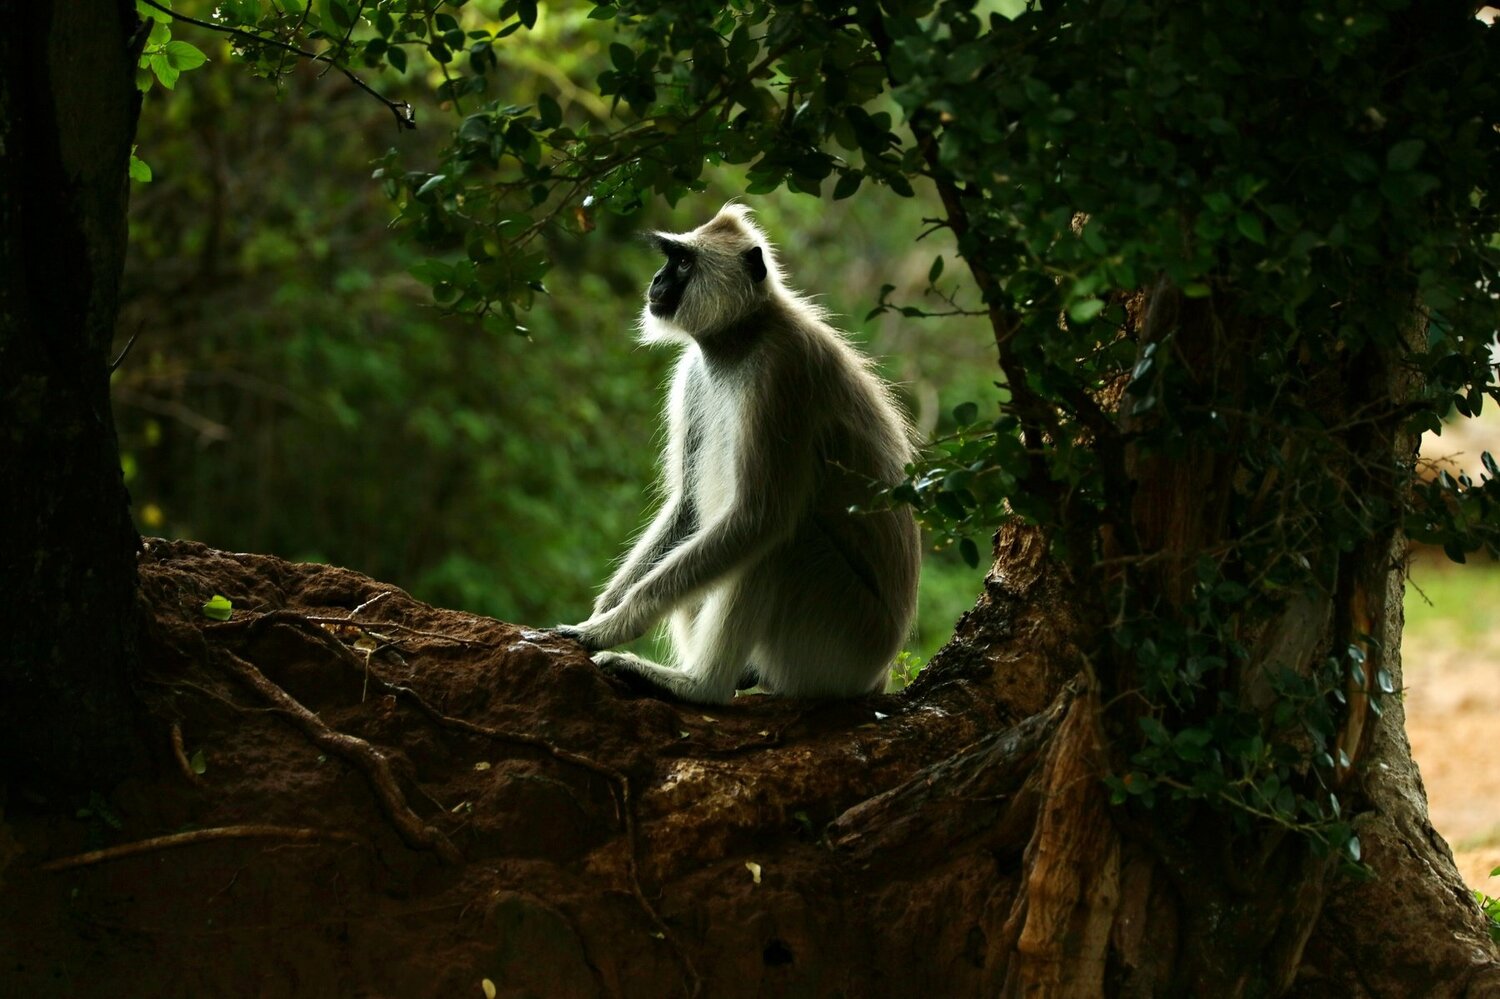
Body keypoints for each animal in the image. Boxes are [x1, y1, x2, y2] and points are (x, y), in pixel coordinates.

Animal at [555, 204, 921, 704]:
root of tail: (879, 674)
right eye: (670, 259)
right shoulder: (693, 371)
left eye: (682, 263)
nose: (657, 281)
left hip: (841, 642)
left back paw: (699, 687)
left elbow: (758, 517)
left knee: (778, 538)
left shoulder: (782, 373)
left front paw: (610, 627)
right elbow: (689, 506)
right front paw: (602, 610)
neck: (740, 339)